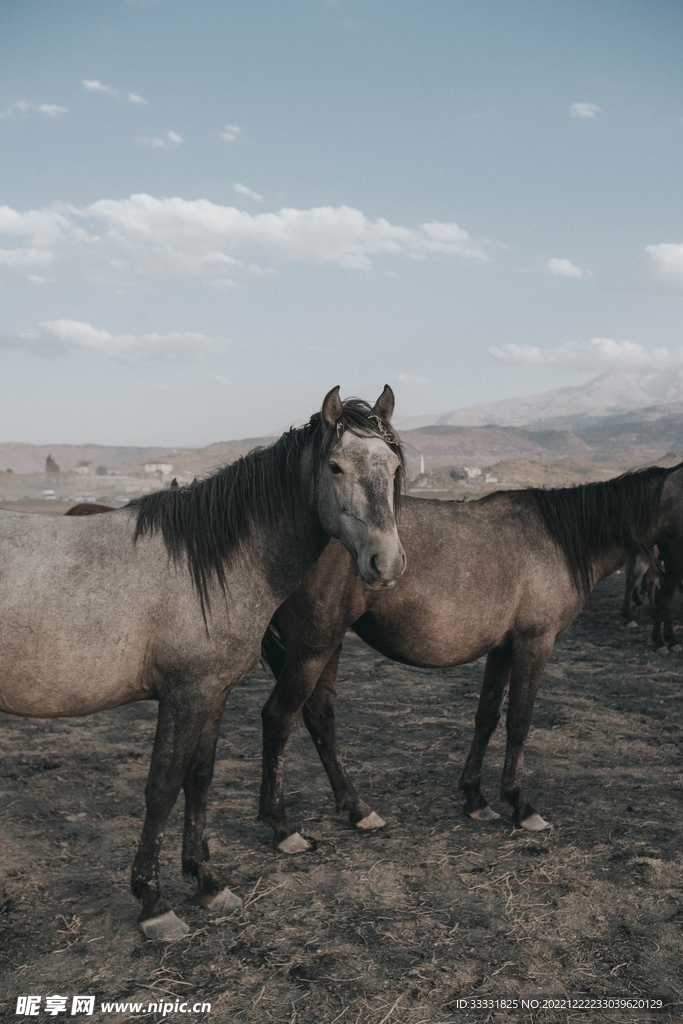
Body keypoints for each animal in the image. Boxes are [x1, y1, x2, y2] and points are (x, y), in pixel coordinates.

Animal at [0, 386, 406, 940]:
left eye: (394, 467)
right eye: (336, 467)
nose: (386, 564)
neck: (207, 566)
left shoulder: (212, 694)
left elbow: (199, 779)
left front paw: (208, 883)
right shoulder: (184, 696)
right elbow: (162, 788)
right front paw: (153, 904)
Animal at [258, 463, 683, 852]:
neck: (559, 539)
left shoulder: (503, 649)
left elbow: (487, 718)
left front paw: (475, 798)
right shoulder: (535, 643)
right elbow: (519, 722)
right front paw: (521, 806)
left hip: (327, 646)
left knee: (320, 716)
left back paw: (358, 809)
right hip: (312, 648)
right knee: (280, 717)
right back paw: (283, 828)